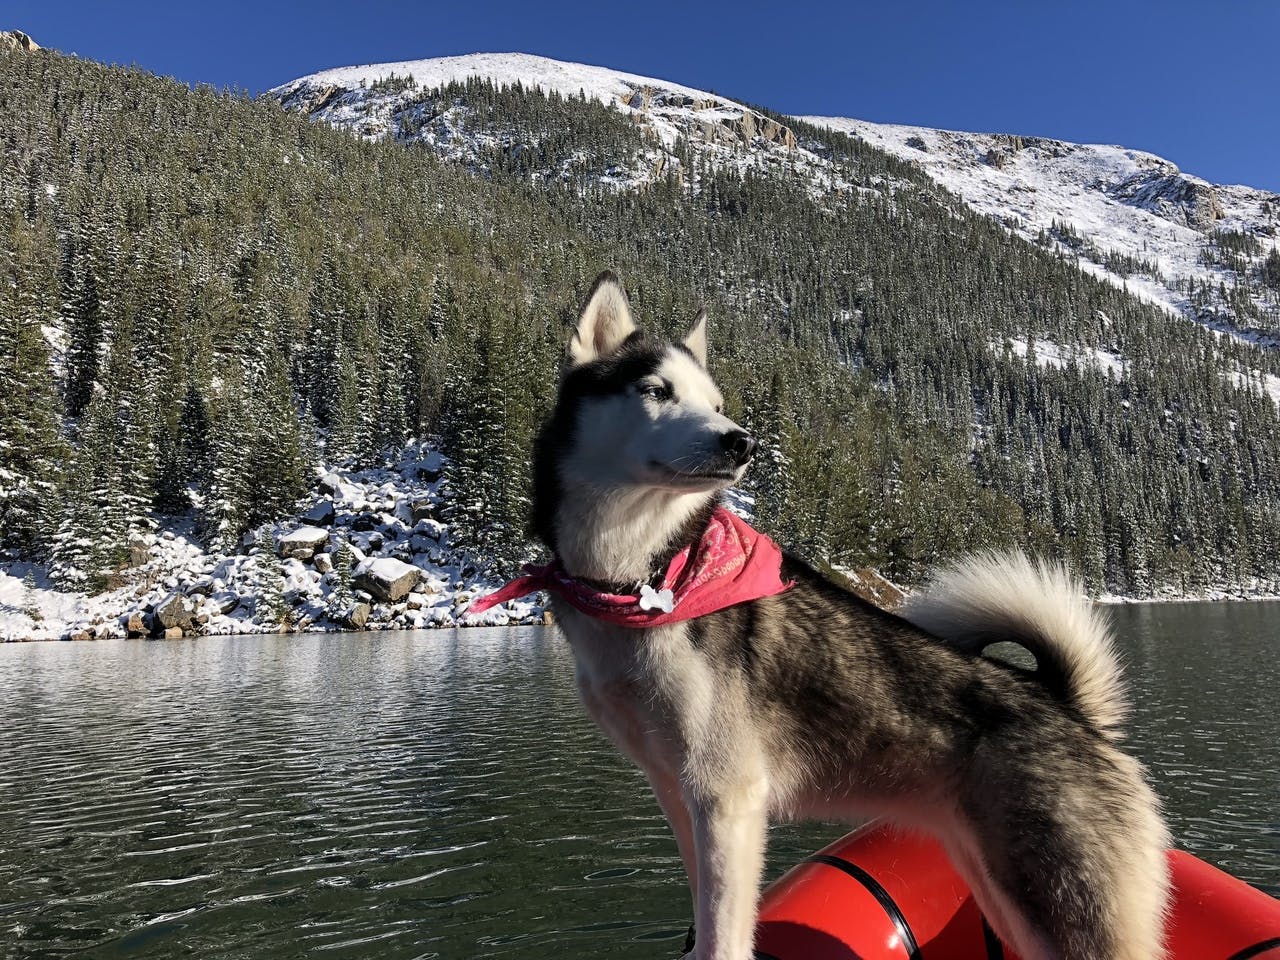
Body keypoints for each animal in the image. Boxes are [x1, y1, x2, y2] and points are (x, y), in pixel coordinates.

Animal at [529, 271, 1172, 960]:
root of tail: (1072, 708)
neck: (640, 576)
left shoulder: (726, 797)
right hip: (999, 890)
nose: (743, 440)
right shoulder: (680, 793)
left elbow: (724, 936)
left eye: (717, 402)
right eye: (655, 391)